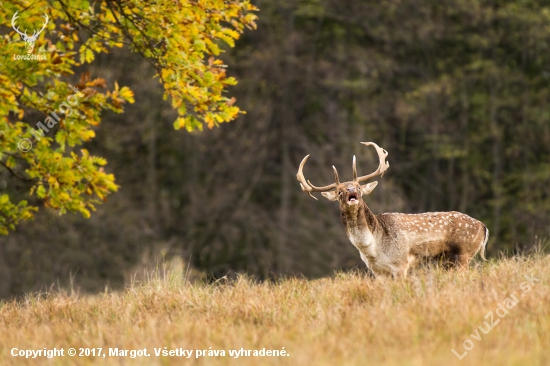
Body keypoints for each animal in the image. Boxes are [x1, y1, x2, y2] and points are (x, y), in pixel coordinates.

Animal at [298, 142, 492, 278]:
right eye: (339, 191)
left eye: (358, 187)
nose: (351, 190)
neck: (374, 248)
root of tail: (484, 227)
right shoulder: (377, 271)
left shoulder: (400, 263)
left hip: (464, 254)